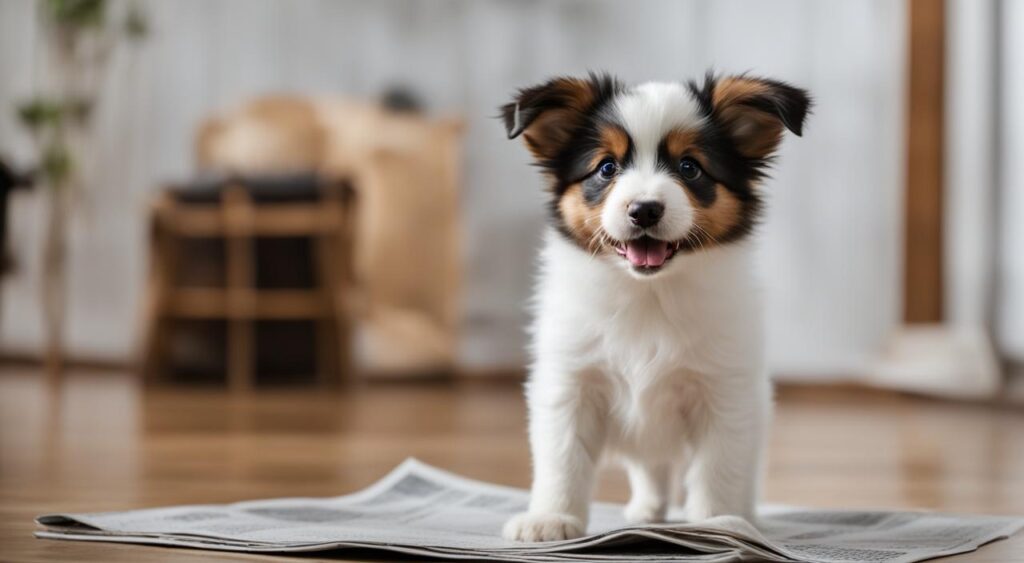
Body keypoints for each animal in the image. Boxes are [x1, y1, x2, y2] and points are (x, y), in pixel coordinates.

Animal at [499, 73, 811, 544]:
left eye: (690, 167)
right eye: (606, 168)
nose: (644, 210)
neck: (649, 294)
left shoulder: (724, 391)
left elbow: (718, 467)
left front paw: (717, 525)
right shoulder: (570, 381)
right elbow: (562, 456)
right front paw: (551, 518)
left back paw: (745, 516)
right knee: (652, 467)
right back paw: (646, 511)